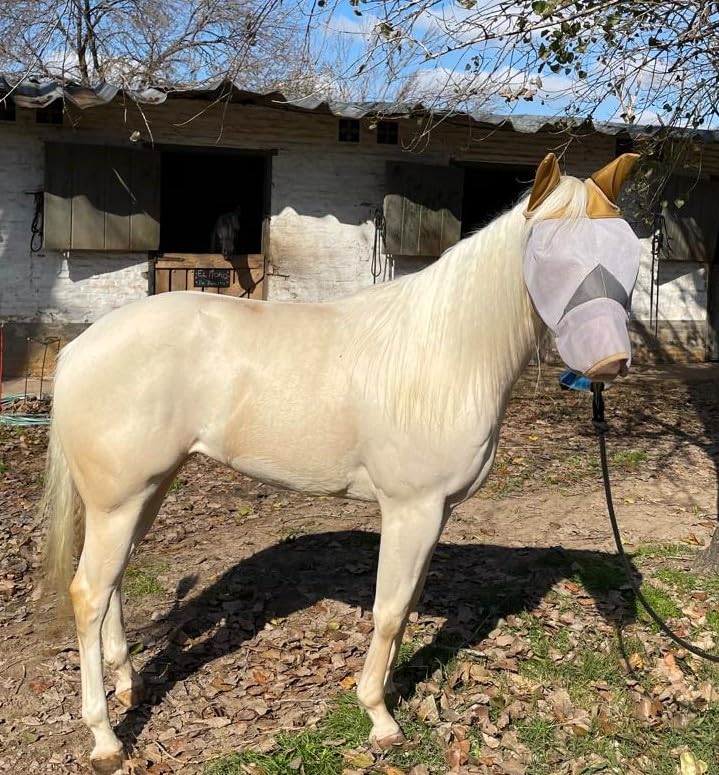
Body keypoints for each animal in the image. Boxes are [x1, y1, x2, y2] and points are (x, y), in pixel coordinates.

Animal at [40, 152, 641, 773]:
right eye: (547, 254)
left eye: (627, 246)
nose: (609, 361)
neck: (443, 354)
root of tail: (78, 349)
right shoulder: (410, 509)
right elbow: (390, 609)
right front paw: (379, 717)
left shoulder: (436, 512)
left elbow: (408, 604)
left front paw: (393, 690)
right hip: (120, 501)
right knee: (88, 594)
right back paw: (105, 738)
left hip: (141, 494)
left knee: (111, 584)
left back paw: (130, 685)